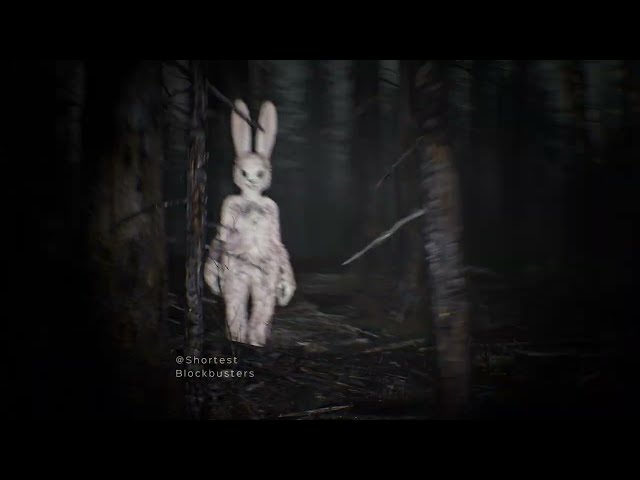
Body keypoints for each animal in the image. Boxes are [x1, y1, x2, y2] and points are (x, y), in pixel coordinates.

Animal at [204, 99, 296, 347]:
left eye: (261, 172)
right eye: (243, 172)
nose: (253, 180)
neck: (253, 199)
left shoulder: (273, 210)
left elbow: (279, 244)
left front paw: (287, 290)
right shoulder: (228, 206)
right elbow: (220, 238)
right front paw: (211, 281)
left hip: (264, 281)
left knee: (262, 309)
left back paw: (255, 342)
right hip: (235, 276)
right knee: (235, 306)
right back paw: (237, 339)